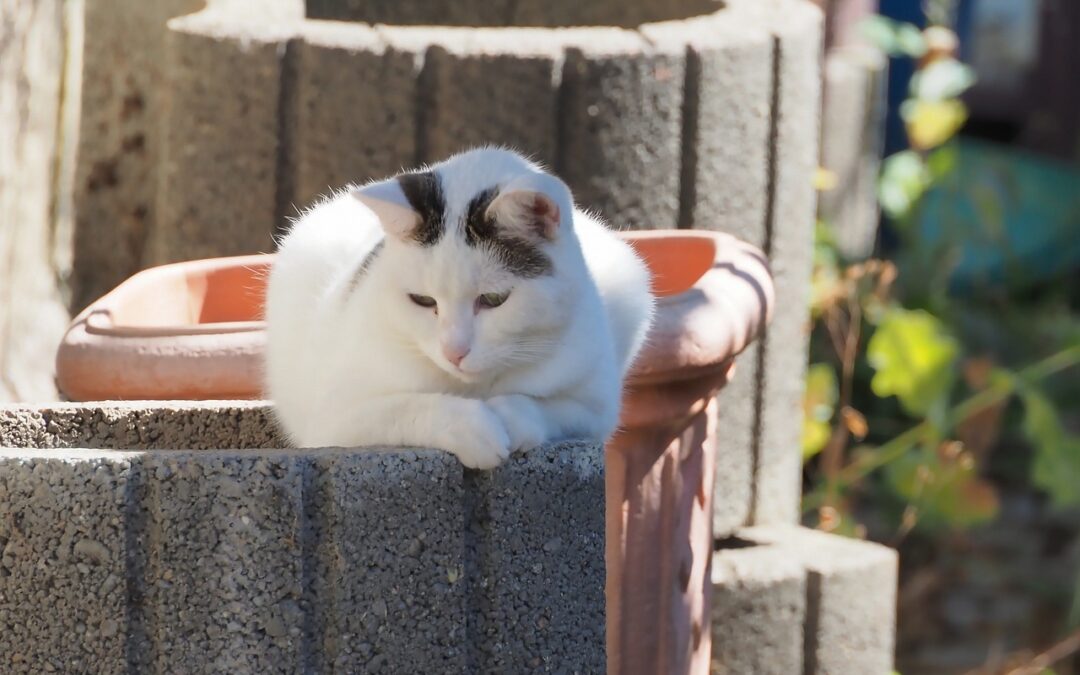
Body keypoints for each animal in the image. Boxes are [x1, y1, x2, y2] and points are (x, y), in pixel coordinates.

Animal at [265, 145, 652, 468]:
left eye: (493, 300)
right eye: (423, 301)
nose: (454, 352)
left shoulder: (596, 407)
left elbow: (543, 405)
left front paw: (510, 417)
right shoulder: (334, 420)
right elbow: (407, 406)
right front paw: (472, 427)